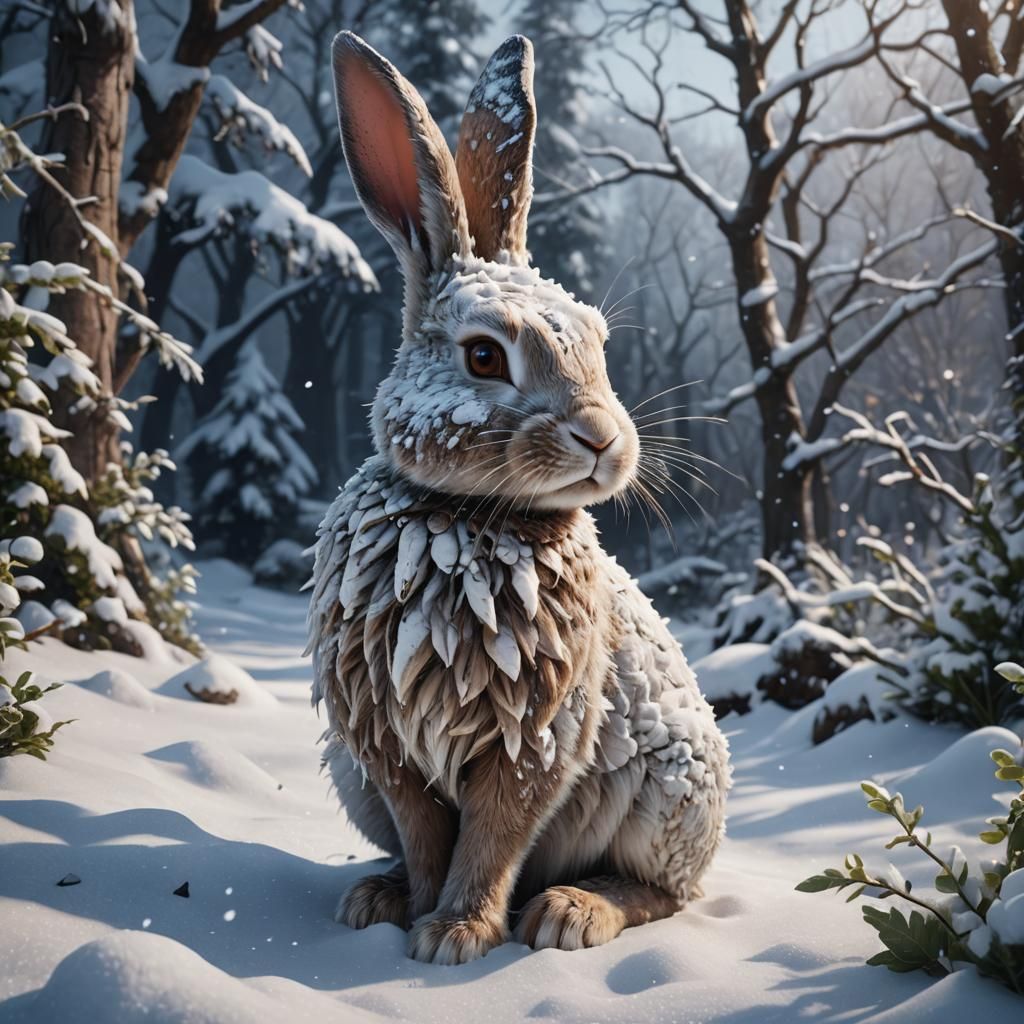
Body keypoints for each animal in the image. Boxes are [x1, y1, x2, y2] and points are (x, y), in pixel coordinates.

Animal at [307, 30, 731, 966]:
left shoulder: (536, 736)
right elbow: (429, 834)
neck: (466, 520)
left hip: (665, 794)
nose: (604, 440)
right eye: (483, 356)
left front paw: (456, 935)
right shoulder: (385, 743)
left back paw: (570, 913)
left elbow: (494, 836)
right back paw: (374, 895)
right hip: (351, 779)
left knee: (665, 895)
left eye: (599, 343)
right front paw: (421, 917)